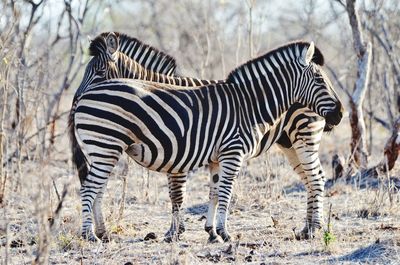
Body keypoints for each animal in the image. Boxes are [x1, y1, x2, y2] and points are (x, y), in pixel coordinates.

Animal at [69, 39, 344, 241]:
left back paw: (310, 229)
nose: (340, 113)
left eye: (99, 71)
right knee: (91, 187)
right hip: (105, 147)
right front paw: (218, 232)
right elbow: (217, 192)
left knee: (314, 178)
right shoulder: (226, 152)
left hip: (299, 141)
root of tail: (86, 99)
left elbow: (212, 191)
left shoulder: (213, 155)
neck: (248, 104)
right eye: (320, 80)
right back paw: (90, 236)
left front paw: (209, 232)